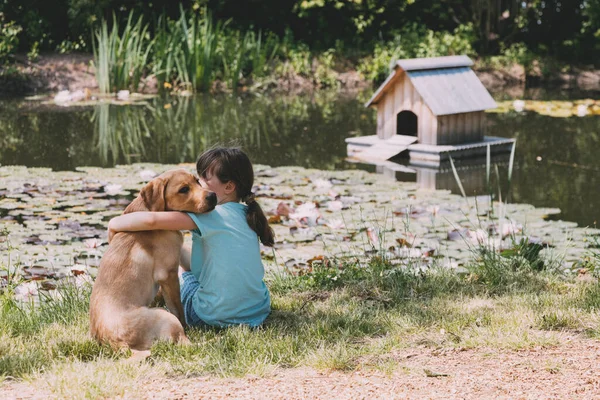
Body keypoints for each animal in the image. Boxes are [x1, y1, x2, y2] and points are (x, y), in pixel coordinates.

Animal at [90, 169, 217, 350]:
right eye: (184, 189)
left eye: (197, 181)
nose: (213, 196)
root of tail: (117, 343)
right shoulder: (169, 275)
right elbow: (178, 309)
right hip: (164, 316)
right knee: (185, 341)